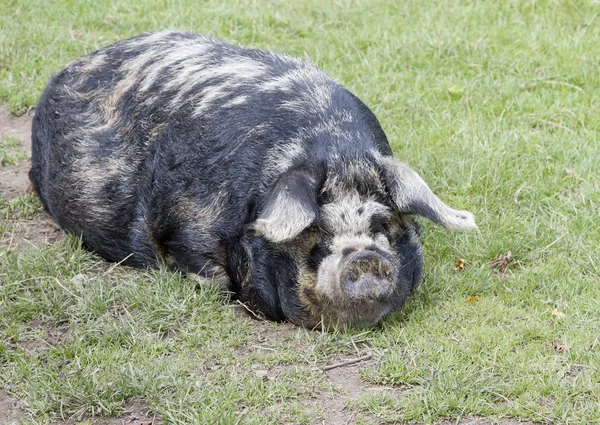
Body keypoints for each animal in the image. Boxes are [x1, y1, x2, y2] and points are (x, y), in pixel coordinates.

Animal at [29, 30, 478, 328]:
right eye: (317, 231)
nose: (365, 257)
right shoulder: (185, 225)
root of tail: (72, 65)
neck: (336, 149)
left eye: (383, 224)